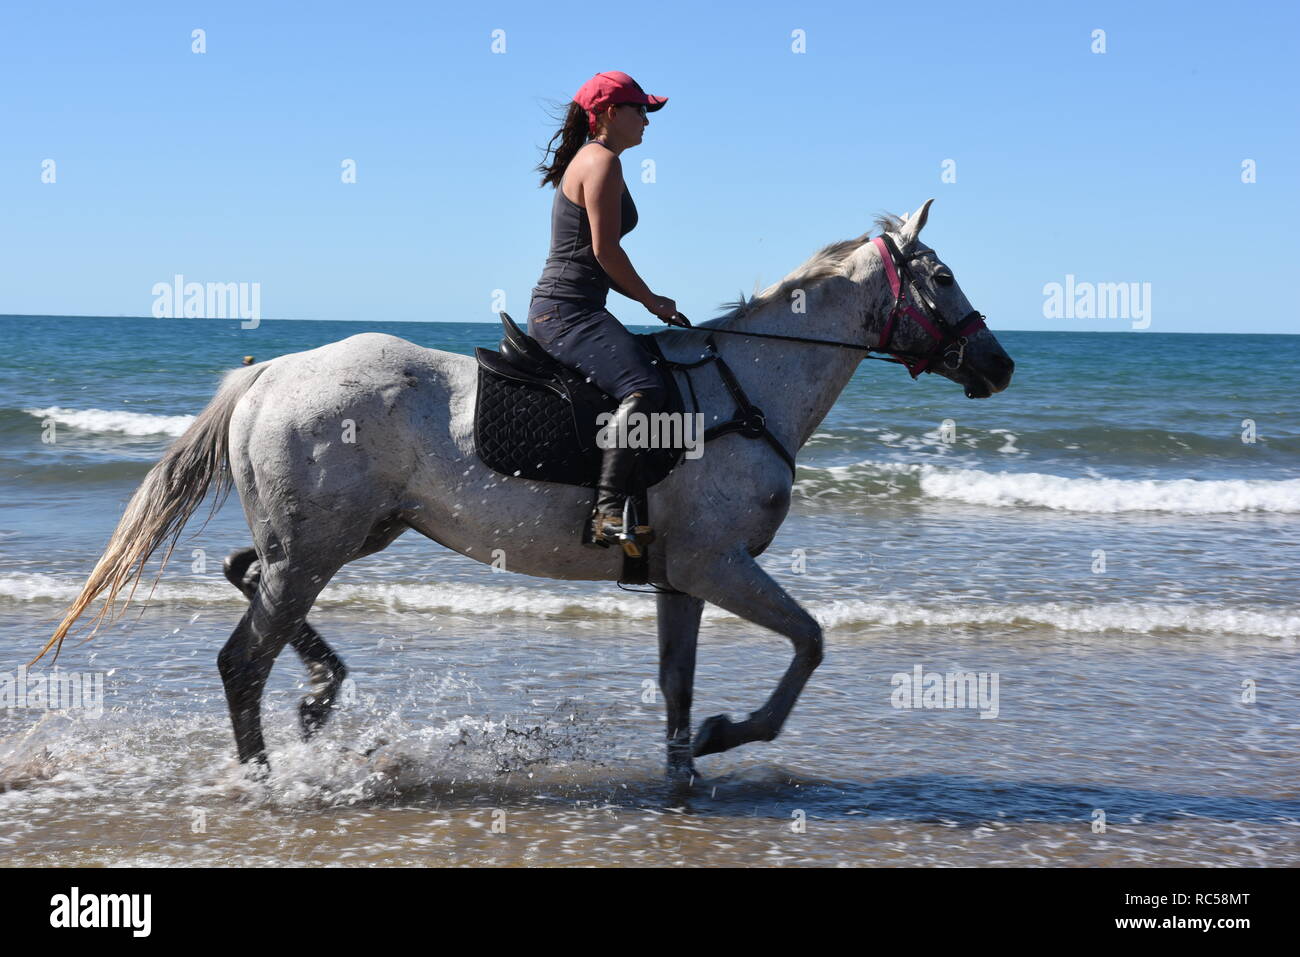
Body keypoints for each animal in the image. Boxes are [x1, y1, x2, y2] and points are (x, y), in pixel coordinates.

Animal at [38, 199, 1014, 780]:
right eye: (942, 275)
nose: (999, 364)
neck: (747, 388)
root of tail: (270, 371)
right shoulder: (719, 563)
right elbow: (808, 642)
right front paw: (728, 736)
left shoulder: (680, 577)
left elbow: (677, 683)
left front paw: (686, 768)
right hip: (319, 545)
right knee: (243, 658)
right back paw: (268, 773)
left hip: (344, 535)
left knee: (246, 576)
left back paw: (320, 691)